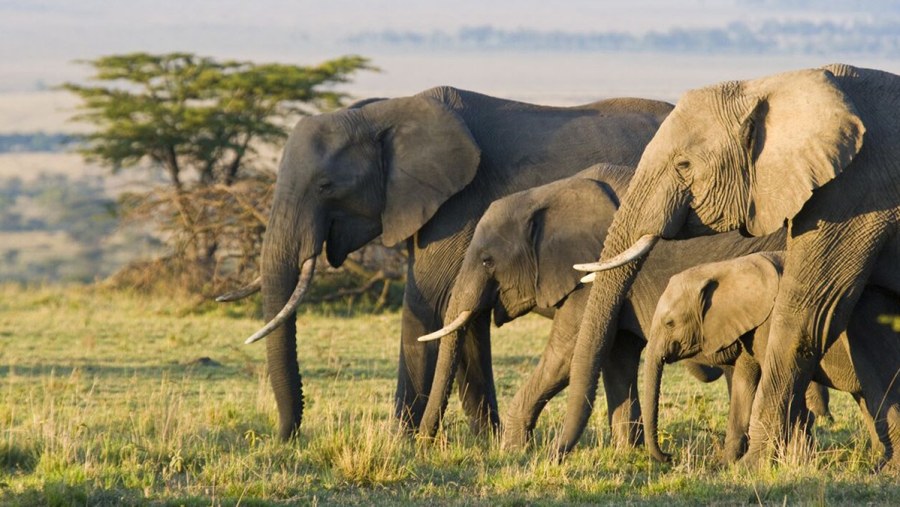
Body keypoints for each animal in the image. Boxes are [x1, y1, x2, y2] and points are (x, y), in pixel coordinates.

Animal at [221, 86, 676, 440]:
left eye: (325, 185)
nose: (286, 436)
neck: (383, 113)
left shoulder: (459, 204)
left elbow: (430, 305)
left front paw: (400, 443)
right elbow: (463, 317)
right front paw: (483, 441)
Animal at [418, 163, 784, 448]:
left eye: (487, 261)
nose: (425, 444)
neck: (548, 193)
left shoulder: (591, 274)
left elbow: (566, 356)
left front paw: (514, 451)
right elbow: (617, 356)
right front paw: (628, 453)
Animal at [644, 251, 900, 468]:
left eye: (670, 323)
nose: (669, 456)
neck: (727, 268)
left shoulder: (771, 323)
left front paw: (798, 463)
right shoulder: (750, 326)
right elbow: (744, 383)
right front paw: (724, 465)